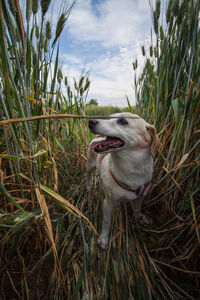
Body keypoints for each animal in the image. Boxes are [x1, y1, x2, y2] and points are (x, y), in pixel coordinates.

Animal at [86, 112, 161, 248]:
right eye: (110, 117)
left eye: (123, 121)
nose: (91, 121)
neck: (132, 168)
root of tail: (99, 137)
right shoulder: (108, 203)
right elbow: (106, 222)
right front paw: (104, 239)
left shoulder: (140, 196)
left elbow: (137, 209)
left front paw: (141, 218)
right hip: (90, 165)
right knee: (87, 175)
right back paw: (88, 186)